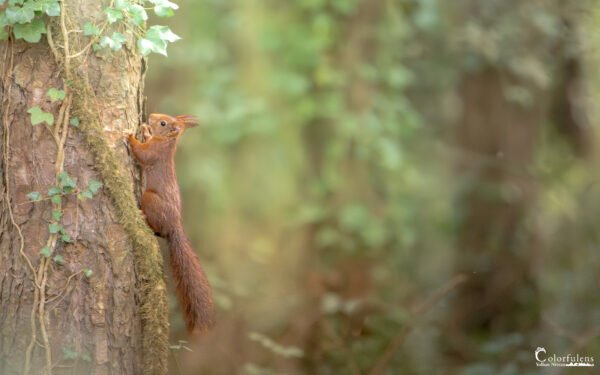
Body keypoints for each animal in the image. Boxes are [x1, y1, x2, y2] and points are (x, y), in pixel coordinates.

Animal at [126, 113, 216, 334]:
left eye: (163, 123)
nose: (150, 116)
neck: (166, 143)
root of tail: (174, 226)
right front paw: (144, 130)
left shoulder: (154, 154)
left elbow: (142, 154)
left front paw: (130, 136)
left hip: (149, 199)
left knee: (155, 227)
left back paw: (142, 216)